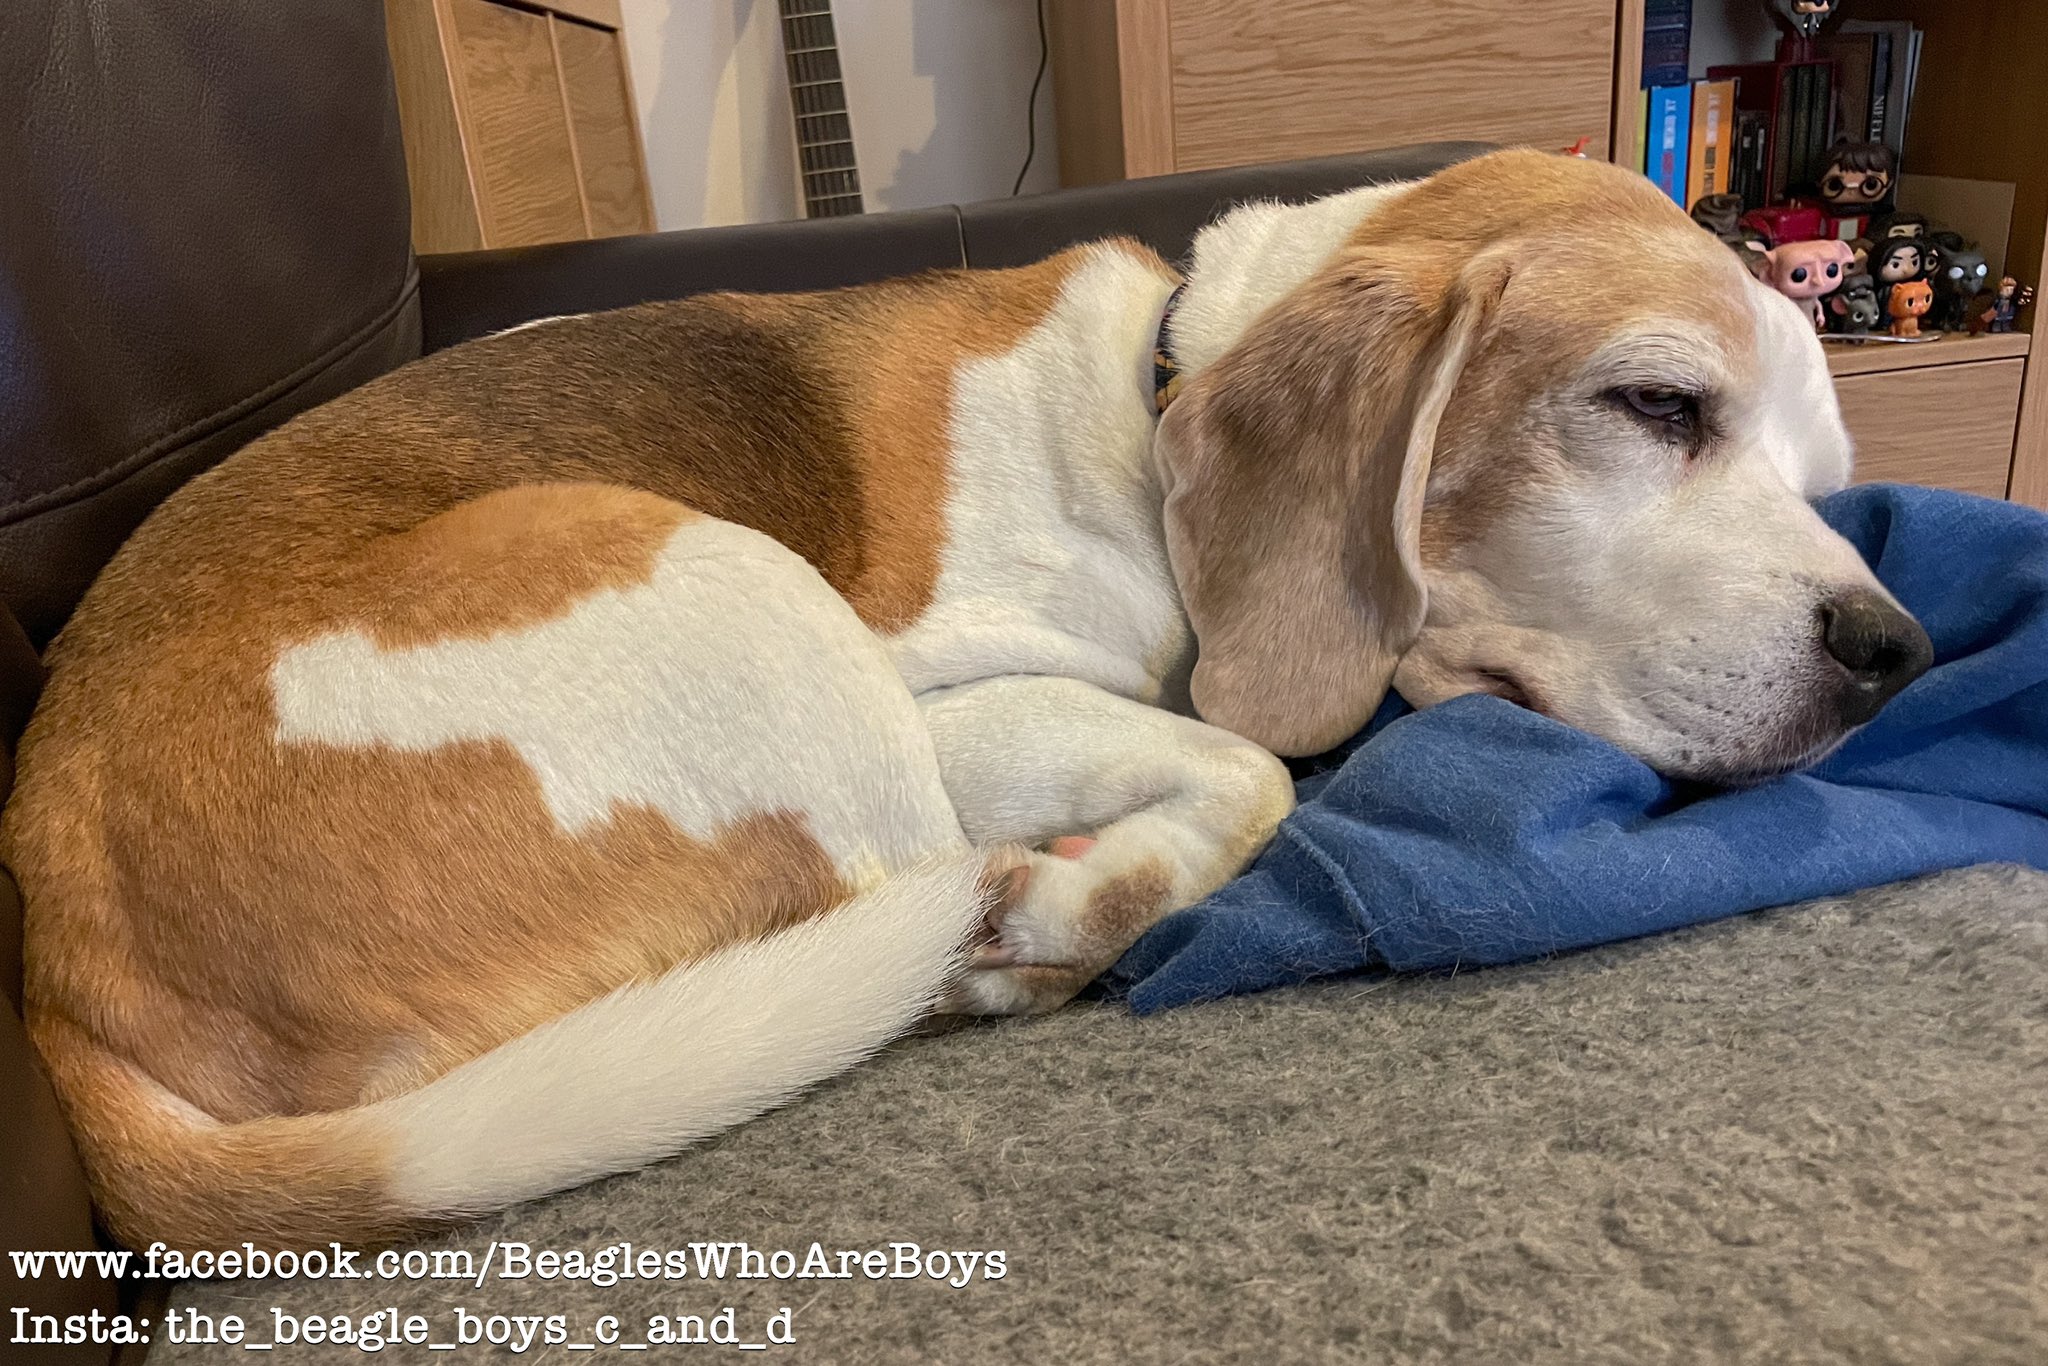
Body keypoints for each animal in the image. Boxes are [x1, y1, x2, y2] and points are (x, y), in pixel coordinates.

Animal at [3, 150, 1932, 1251]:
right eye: (1655, 406)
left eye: (1826, 479)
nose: (1892, 654)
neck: (1158, 384)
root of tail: (61, 962)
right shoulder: (941, 689)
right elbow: (1253, 763)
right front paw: (1089, 886)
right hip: (746, 608)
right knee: (902, 891)